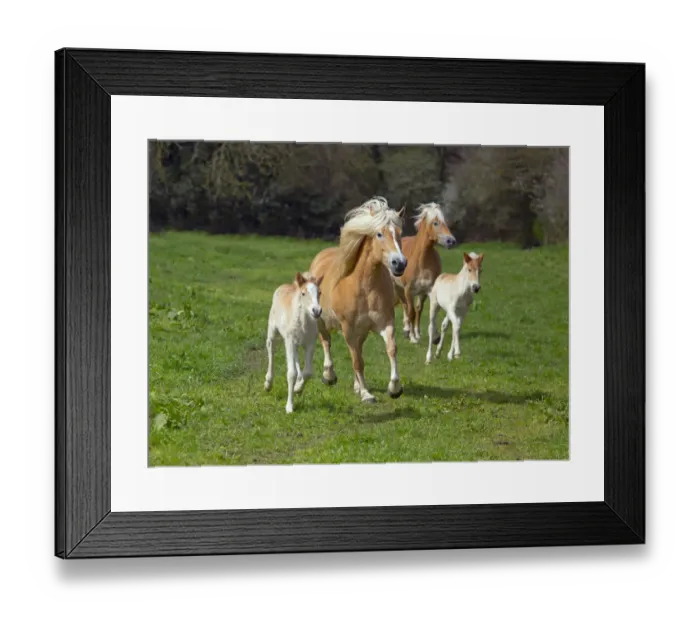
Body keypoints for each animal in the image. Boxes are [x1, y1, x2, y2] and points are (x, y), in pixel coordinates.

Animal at [264, 271, 324, 413]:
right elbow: (291, 373)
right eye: (303, 293)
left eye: (320, 292)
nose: (317, 311)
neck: (304, 323)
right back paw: (268, 383)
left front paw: (298, 388)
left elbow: (308, 372)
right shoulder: (290, 342)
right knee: (270, 349)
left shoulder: (310, 344)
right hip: (273, 332)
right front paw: (289, 406)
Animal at [308, 197, 407, 403]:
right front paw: (366, 394)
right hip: (322, 321)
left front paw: (394, 388)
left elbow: (391, 349)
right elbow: (356, 360)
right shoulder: (348, 329)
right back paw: (329, 376)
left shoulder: (385, 322)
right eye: (379, 234)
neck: (364, 288)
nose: (399, 263)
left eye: (400, 233)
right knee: (326, 342)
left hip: (362, 331)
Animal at [392, 203, 457, 344]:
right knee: (406, 307)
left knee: (418, 309)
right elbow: (411, 312)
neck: (422, 260)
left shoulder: (429, 289)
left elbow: (429, 311)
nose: (451, 241)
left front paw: (435, 336)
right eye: (436, 223)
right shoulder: (408, 290)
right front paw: (412, 337)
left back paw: (417, 332)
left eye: (445, 222)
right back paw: (407, 331)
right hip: (398, 288)